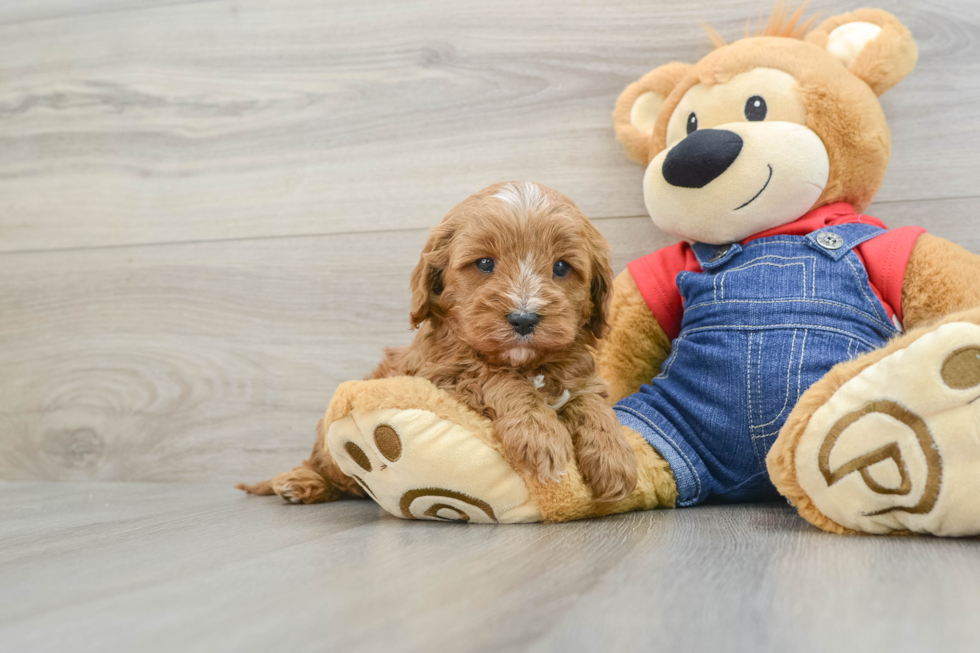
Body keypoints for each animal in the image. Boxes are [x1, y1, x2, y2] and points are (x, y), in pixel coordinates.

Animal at [240, 182, 640, 504]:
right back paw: (299, 483)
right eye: (484, 263)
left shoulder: (581, 375)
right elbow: (495, 378)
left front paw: (614, 457)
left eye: (561, 268)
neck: (526, 363)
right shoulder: (440, 373)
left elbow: (590, 403)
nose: (524, 319)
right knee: (326, 468)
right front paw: (539, 435)